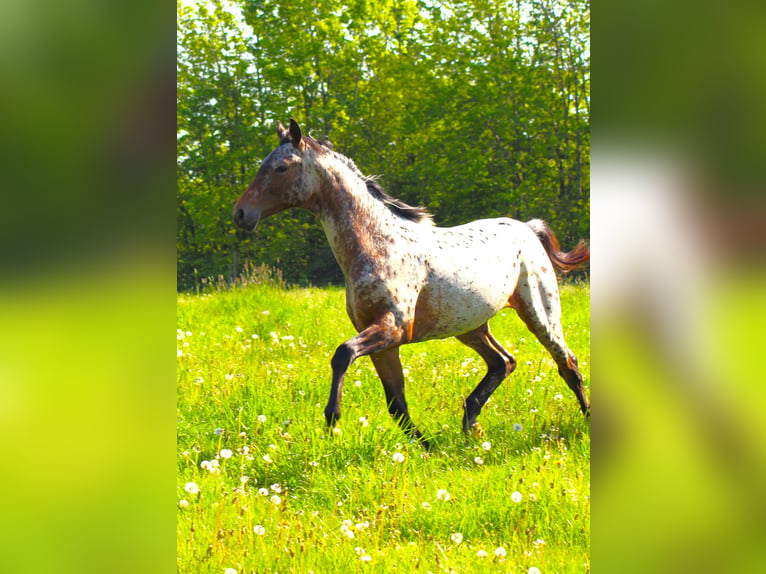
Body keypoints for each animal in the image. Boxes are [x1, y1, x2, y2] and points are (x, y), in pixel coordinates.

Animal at [234, 118, 592, 450]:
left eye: (281, 167)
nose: (240, 214)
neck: (378, 245)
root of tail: (528, 229)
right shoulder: (384, 341)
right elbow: (396, 403)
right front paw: (429, 447)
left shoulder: (393, 328)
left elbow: (343, 354)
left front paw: (332, 419)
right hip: (471, 326)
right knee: (503, 363)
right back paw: (470, 425)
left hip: (540, 314)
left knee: (567, 363)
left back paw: (585, 421)